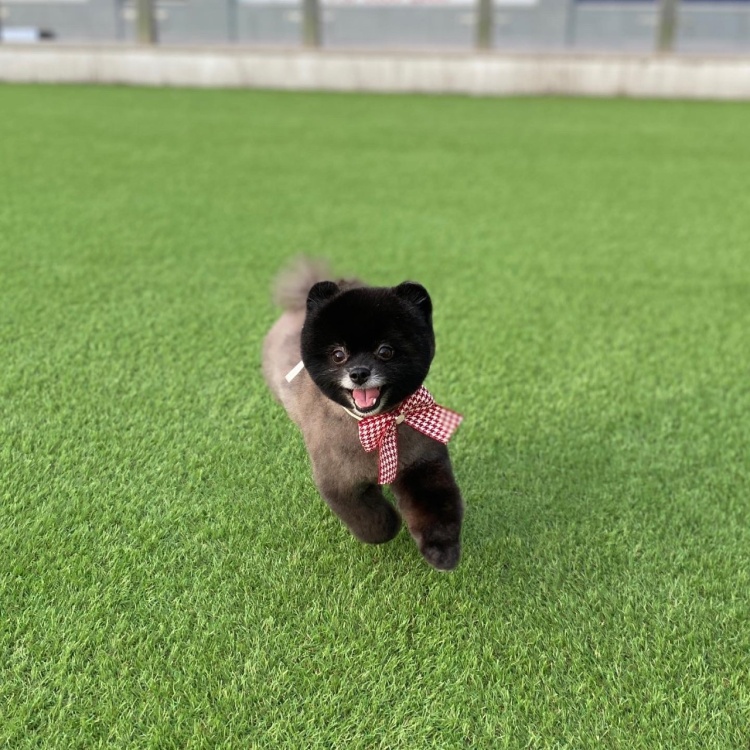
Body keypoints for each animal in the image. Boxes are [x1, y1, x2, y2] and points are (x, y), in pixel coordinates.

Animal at [262, 259, 464, 570]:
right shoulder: (340, 482)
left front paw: (443, 552)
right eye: (338, 355)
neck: (377, 424)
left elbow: (436, 508)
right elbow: (372, 523)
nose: (358, 373)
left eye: (385, 351)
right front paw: (391, 524)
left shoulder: (421, 462)